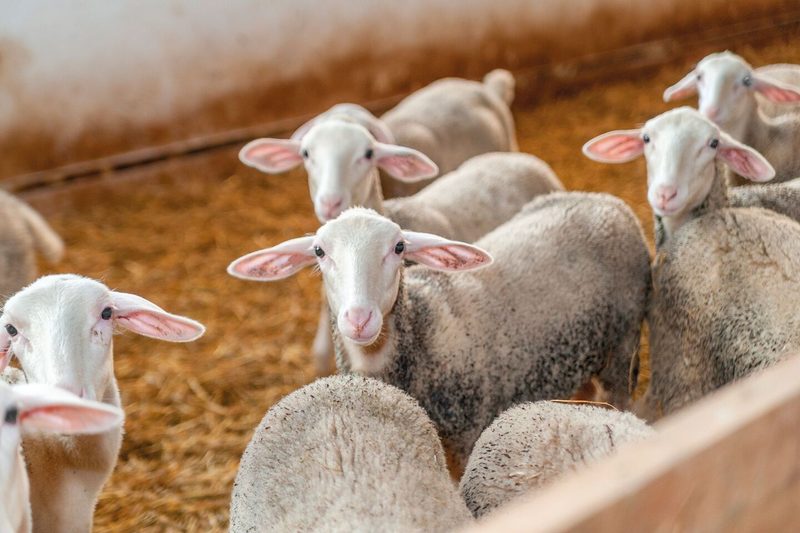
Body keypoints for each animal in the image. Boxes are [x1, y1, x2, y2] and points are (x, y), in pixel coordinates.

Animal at [228, 194, 651, 472]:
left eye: (399, 247)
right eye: (319, 251)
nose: (359, 318)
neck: (421, 334)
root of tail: (605, 201)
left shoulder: (469, 433)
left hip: (623, 341)